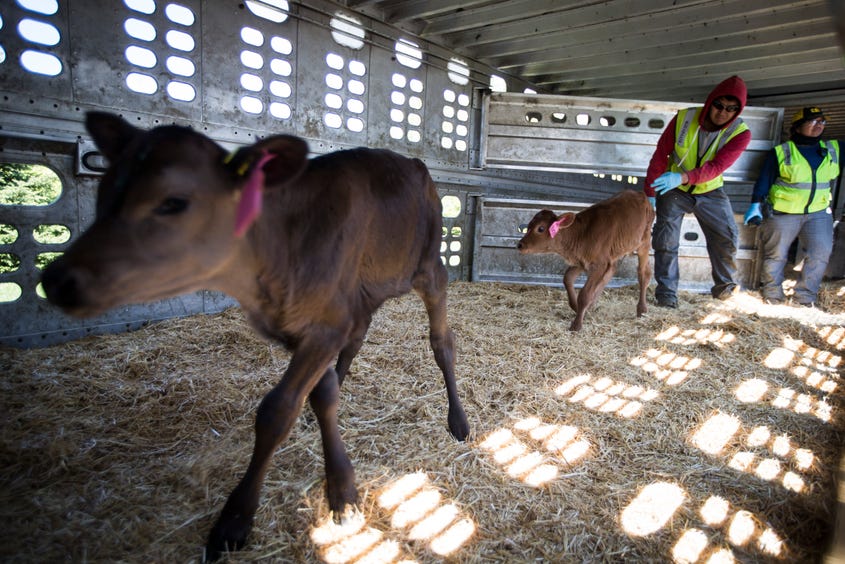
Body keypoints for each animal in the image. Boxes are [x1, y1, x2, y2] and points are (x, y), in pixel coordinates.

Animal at [41, 111, 468, 560]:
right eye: (105, 191)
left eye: (174, 201)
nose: (57, 279)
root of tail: (415, 163)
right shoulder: (313, 324)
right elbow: (322, 394)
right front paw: (340, 480)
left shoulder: (325, 326)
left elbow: (276, 411)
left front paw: (236, 518)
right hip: (364, 291)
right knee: (357, 339)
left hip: (429, 266)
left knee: (443, 343)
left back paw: (458, 420)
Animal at [516, 191, 652, 330]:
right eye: (528, 226)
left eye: (541, 228)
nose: (520, 245)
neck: (582, 234)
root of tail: (638, 193)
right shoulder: (581, 261)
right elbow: (567, 278)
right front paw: (576, 307)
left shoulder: (599, 264)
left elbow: (584, 294)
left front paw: (576, 325)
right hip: (615, 252)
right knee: (611, 271)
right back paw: (592, 306)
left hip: (644, 242)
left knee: (644, 273)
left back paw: (642, 309)